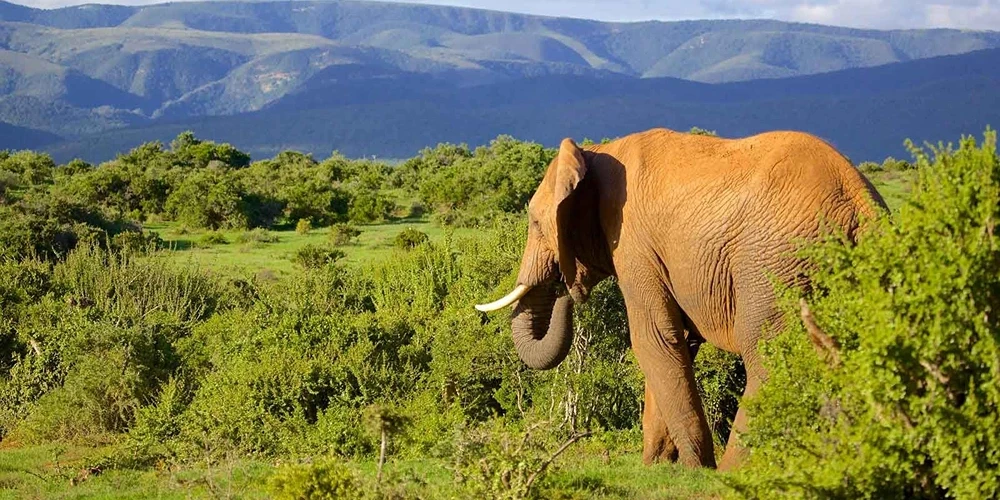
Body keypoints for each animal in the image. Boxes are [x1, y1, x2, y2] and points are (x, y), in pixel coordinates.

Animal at [475, 127, 887, 470]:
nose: (565, 291)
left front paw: (694, 468)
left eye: (534, 222)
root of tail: (860, 204)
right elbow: (677, 344)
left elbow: (653, 339)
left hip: (775, 261)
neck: (596, 154)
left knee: (766, 354)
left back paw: (733, 472)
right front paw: (659, 465)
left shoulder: (634, 244)